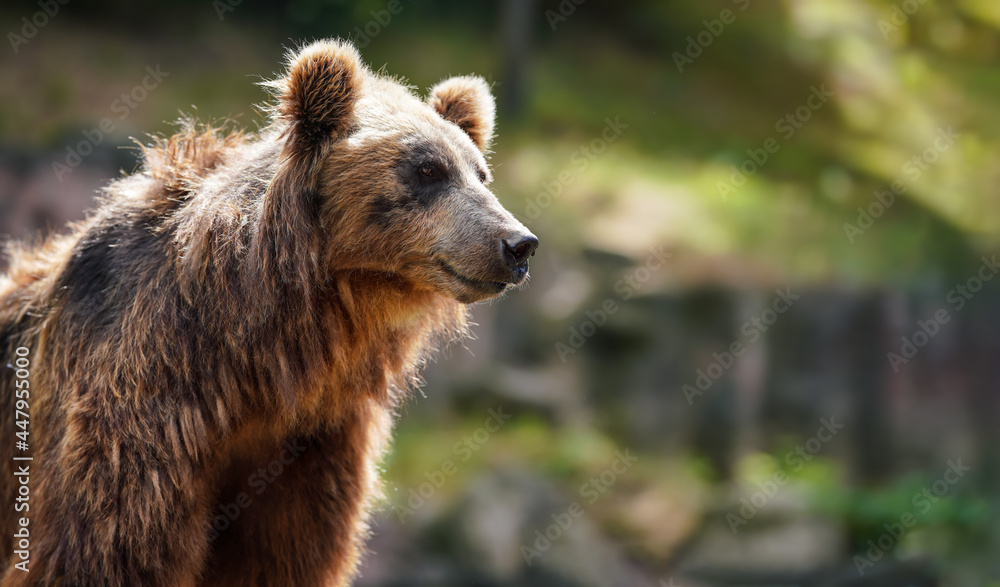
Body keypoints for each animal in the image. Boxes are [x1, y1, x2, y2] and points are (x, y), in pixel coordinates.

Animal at [0, 39, 537, 586]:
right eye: (428, 169)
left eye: (481, 172)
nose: (517, 244)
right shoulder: (133, 415)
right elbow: (106, 549)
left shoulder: (310, 450)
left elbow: (284, 554)